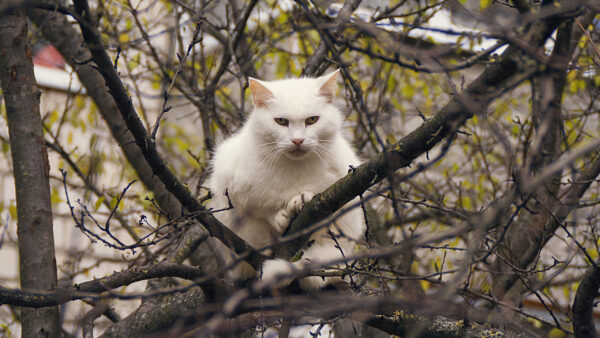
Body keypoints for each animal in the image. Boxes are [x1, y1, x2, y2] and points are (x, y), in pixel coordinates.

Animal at [206, 70, 366, 288]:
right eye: (281, 121)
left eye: (312, 120)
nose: (297, 140)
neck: (294, 169)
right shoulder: (234, 187)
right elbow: (264, 208)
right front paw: (281, 216)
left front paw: (303, 199)